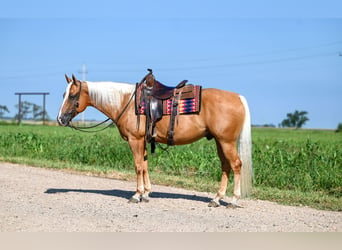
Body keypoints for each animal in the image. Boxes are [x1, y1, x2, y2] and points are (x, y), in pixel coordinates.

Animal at [57, 73, 252, 207]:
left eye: (72, 96)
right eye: (63, 95)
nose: (60, 119)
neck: (126, 102)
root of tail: (238, 97)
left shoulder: (135, 140)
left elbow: (138, 166)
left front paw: (137, 195)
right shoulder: (143, 141)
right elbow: (145, 166)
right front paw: (146, 194)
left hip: (226, 142)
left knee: (236, 165)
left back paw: (233, 200)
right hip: (220, 142)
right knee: (226, 166)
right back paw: (217, 199)